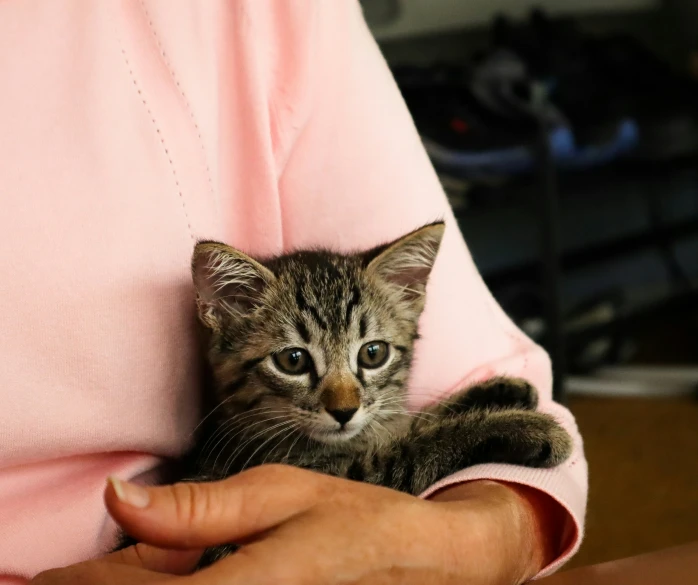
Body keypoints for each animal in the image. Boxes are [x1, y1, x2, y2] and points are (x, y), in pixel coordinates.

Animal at [118, 221, 572, 564]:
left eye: (373, 353)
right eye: (293, 361)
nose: (344, 410)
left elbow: (408, 421)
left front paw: (501, 390)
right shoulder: (336, 479)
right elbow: (417, 445)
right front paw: (526, 428)